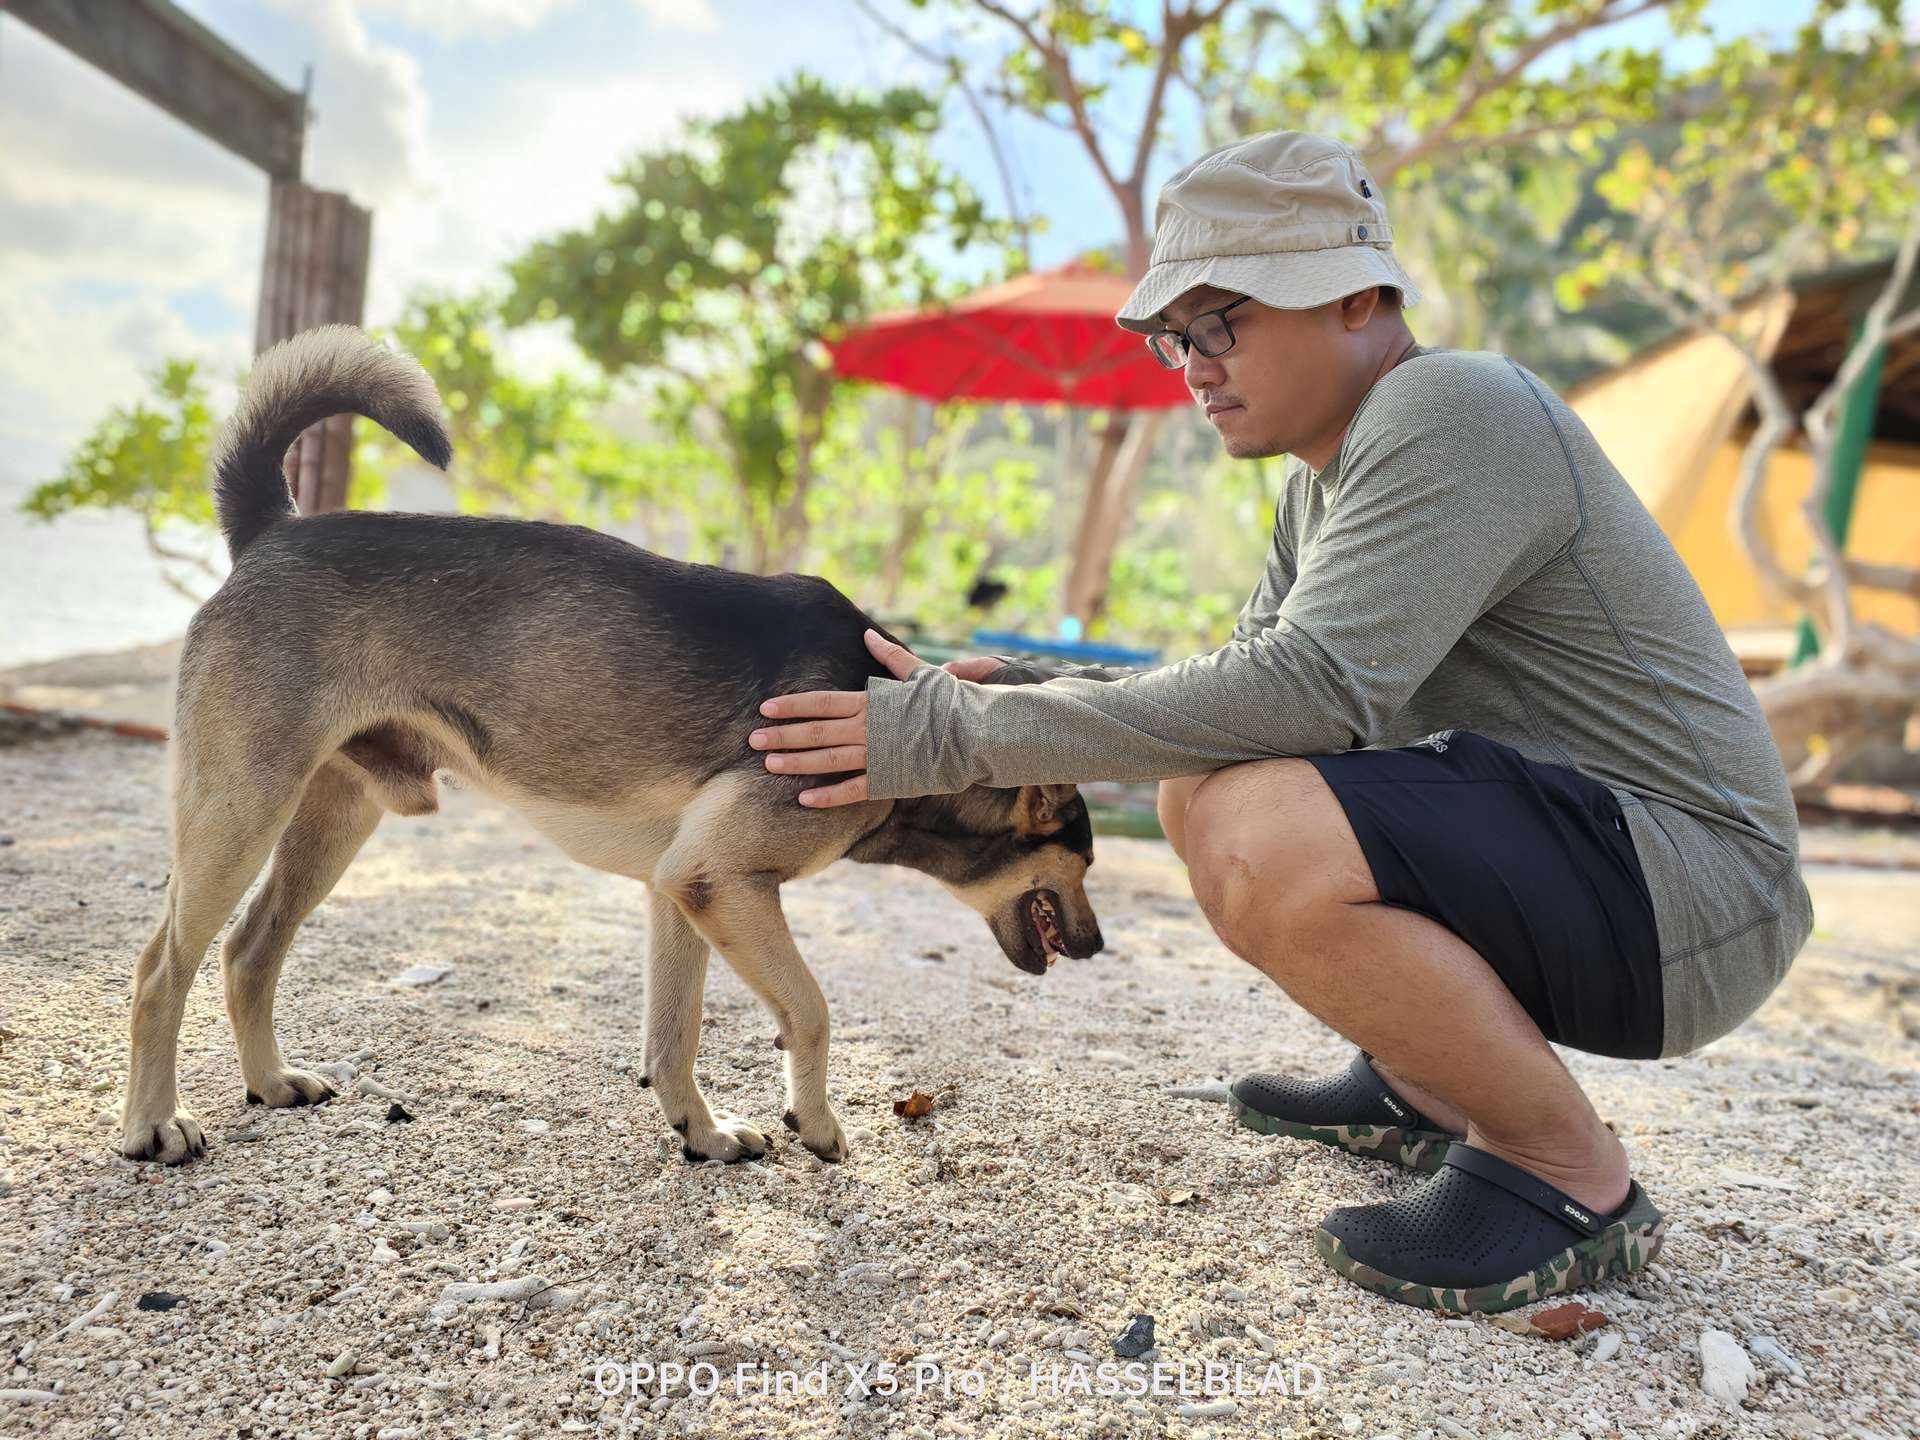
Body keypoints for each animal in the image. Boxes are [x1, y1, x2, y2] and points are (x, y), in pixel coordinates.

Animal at [120, 324, 1105, 1175]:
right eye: (1081, 862)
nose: (1097, 948)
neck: (901, 720)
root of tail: (275, 528)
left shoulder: (682, 890)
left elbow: (675, 1036)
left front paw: (702, 1133)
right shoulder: (724, 883)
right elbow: (814, 1011)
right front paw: (818, 1121)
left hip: (331, 818)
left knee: (248, 950)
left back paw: (268, 1083)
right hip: (243, 809)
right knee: (162, 967)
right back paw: (154, 1125)